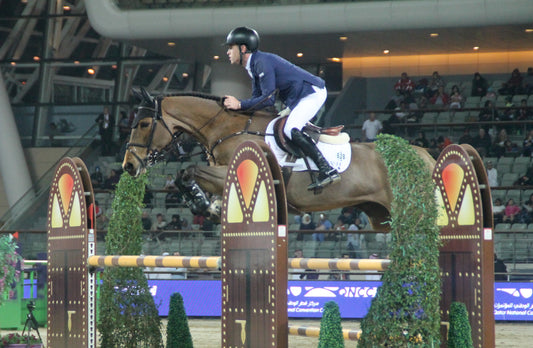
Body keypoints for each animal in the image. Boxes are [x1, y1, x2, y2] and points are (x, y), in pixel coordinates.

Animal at [122, 89, 434, 231]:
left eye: (144, 124)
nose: (129, 165)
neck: (226, 128)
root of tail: (422, 154)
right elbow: (189, 176)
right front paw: (208, 205)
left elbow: (189, 170)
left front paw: (201, 204)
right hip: (381, 216)